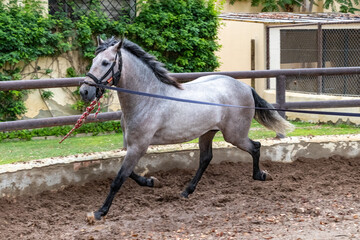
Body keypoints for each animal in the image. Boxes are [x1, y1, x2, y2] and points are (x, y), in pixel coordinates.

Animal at [79, 36, 292, 222]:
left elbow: (119, 178)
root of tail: (245, 87)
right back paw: (186, 191)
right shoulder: (131, 145)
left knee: (255, 146)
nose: (84, 91)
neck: (148, 98)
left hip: (234, 135)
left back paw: (260, 175)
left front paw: (99, 213)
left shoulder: (139, 146)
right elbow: (127, 172)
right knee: (206, 158)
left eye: (105, 63)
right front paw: (152, 182)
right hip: (208, 133)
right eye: (93, 60)